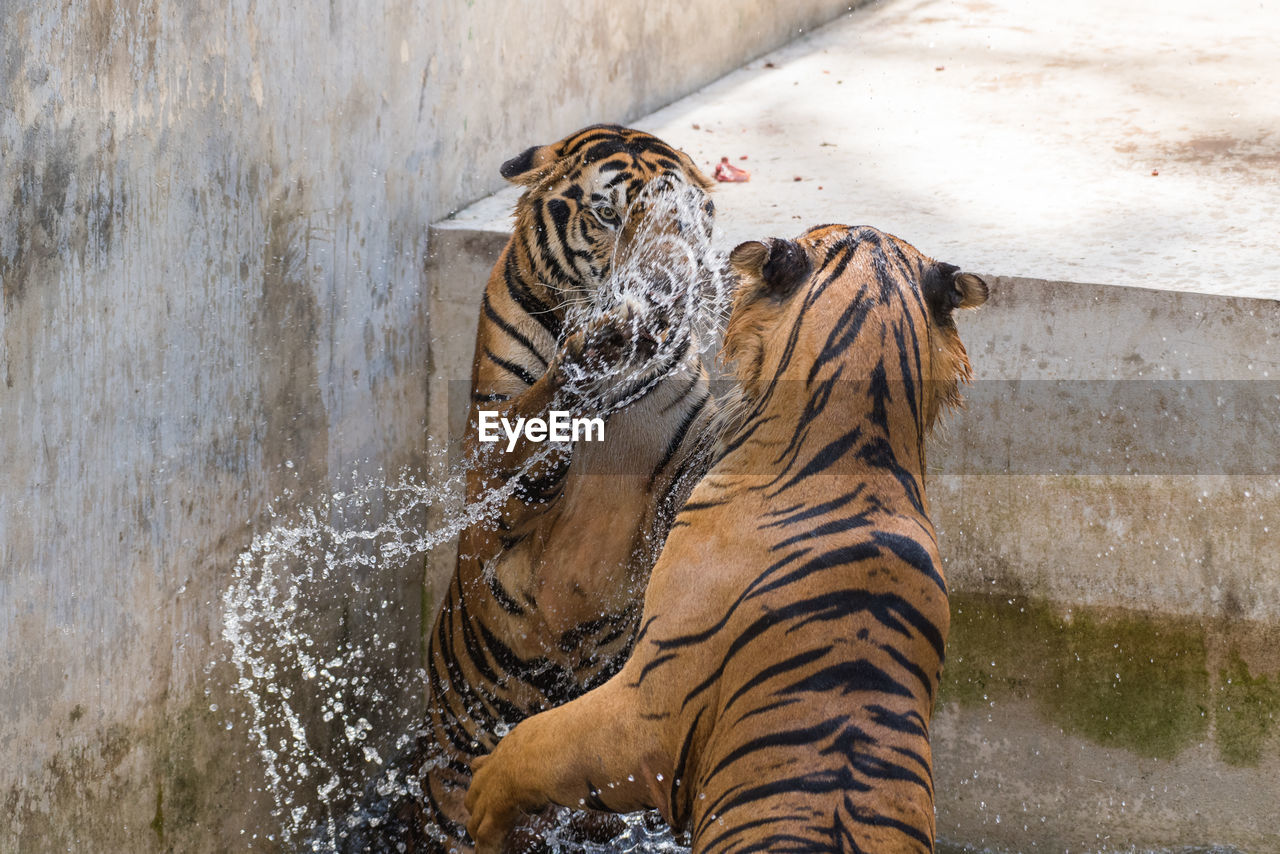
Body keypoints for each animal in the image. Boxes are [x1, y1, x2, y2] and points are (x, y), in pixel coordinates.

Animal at [360, 123, 721, 850]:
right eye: (607, 213)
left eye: (685, 221)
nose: (663, 288)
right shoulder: (485, 458)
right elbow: (526, 433)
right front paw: (582, 370)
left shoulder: (689, 455)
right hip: (456, 791)